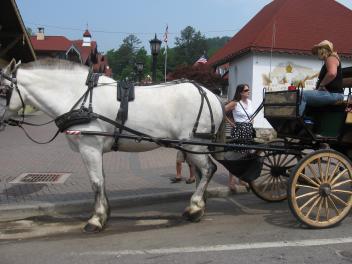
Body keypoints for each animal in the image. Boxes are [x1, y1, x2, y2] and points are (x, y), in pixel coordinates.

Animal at [0, 58, 224, 232]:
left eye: (3, 90)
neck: (79, 97)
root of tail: (212, 95)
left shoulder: (89, 148)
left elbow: (96, 182)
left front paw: (96, 219)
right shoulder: (95, 150)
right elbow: (102, 180)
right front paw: (105, 213)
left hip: (194, 145)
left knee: (208, 169)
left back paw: (194, 208)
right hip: (192, 147)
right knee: (201, 173)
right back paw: (199, 207)